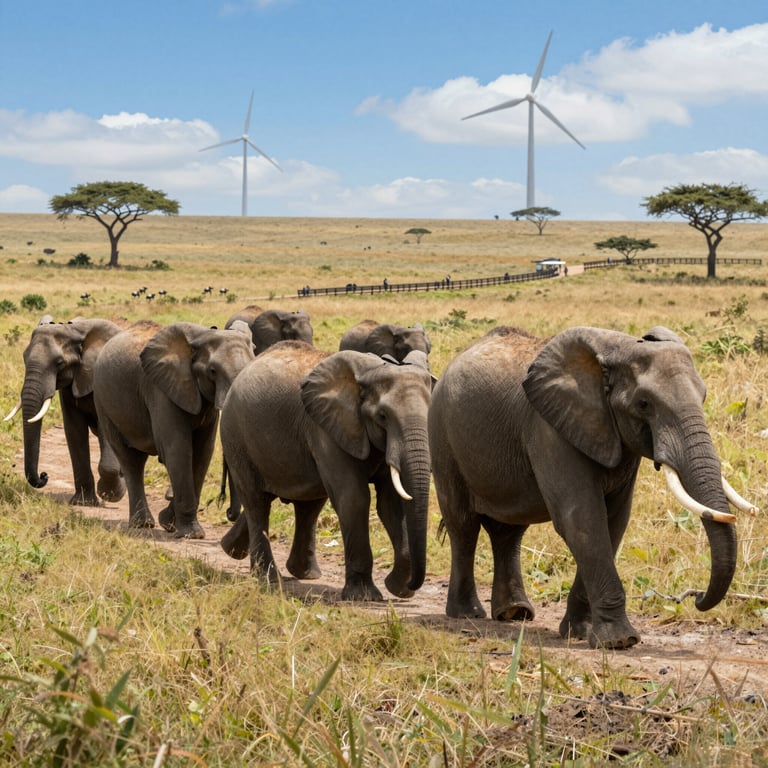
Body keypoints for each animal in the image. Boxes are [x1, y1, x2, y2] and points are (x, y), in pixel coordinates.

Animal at [4, 316, 126, 506]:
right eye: (24, 358)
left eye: (59, 363)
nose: (44, 475)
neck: (75, 331)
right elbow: (74, 431)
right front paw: (83, 503)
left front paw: (111, 495)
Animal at [93, 320, 255, 538]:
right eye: (212, 371)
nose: (229, 513)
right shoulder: (160, 391)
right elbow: (178, 449)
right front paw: (192, 534)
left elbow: (203, 453)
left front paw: (169, 522)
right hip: (104, 403)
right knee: (130, 460)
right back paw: (142, 524)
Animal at [219, 341, 433, 601]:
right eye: (382, 416)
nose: (413, 584)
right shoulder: (325, 429)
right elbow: (354, 498)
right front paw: (364, 597)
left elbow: (391, 503)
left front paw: (397, 589)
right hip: (236, 437)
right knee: (257, 502)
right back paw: (267, 578)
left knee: (307, 503)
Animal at [428, 325, 747, 649]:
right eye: (644, 404)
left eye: (703, 396)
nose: (696, 597)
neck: (617, 348)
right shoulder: (549, 429)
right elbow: (582, 519)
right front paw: (620, 641)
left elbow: (613, 521)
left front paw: (579, 632)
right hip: (442, 437)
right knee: (463, 525)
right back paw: (467, 614)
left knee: (510, 530)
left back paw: (514, 613)